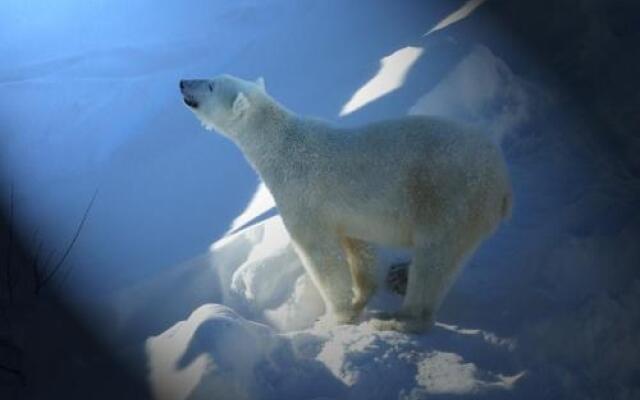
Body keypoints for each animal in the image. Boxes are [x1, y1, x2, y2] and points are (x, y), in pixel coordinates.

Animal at [178, 76, 512, 334]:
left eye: (210, 84)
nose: (182, 82)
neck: (281, 146)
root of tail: (502, 184)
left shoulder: (302, 196)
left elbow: (320, 255)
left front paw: (335, 317)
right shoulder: (346, 213)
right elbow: (359, 247)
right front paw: (359, 300)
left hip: (449, 199)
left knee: (433, 262)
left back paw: (399, 320)